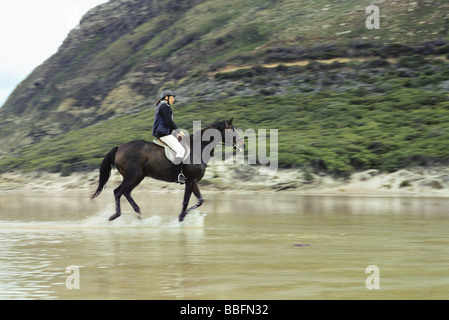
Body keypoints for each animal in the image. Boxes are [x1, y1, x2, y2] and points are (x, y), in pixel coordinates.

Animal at [90, 119, 243, 221]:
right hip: (132, 176)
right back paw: (115, 216)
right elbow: (186, 201)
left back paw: (138, 214)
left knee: (126, 193)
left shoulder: (193, 181)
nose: (243, 145)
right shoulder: (190, 180)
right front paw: (181, 217)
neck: (198, 148)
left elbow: (199, 200)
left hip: (137, 177)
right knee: (118, 192)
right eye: (232, 129)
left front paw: (183, 216)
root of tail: (119, 147)